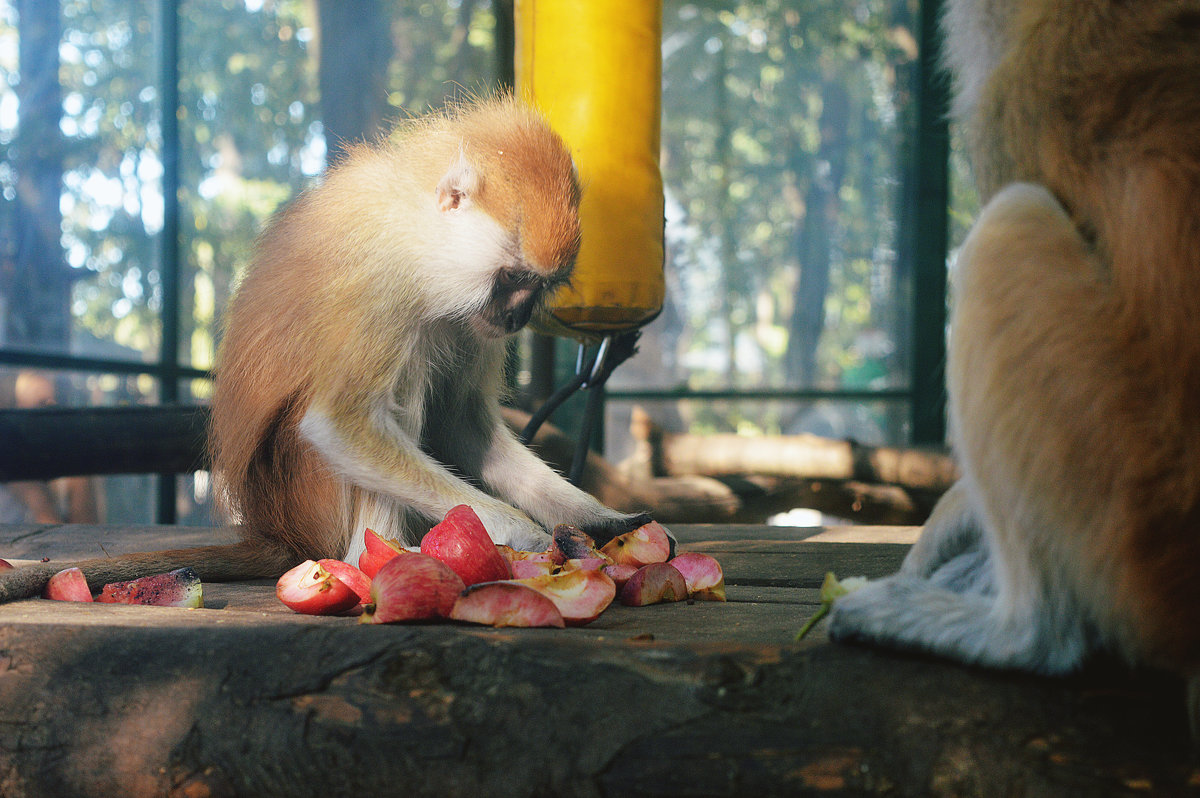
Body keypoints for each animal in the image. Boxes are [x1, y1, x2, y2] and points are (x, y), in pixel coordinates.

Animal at [0, 93, 648, 600]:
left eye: (538, 287)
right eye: (512, 277)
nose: (516, 317)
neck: (417, 230)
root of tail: (280, 528)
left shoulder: (469, 317)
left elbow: (463, 423)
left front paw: (597, 519)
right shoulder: (380, 280)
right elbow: (339, 425)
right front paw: (518, 532)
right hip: (306, 488)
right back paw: (377, 559)